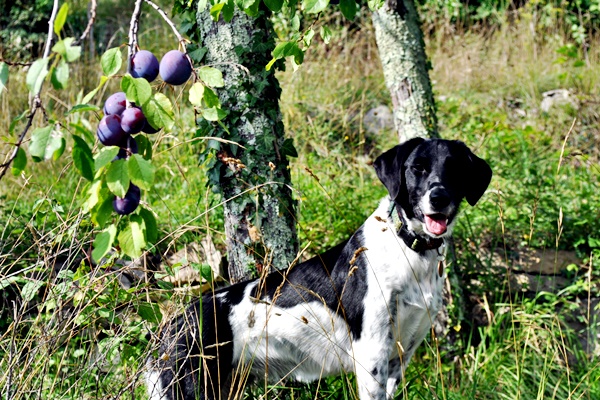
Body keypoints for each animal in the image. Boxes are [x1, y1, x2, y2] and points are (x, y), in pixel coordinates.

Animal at [146, 138, 492, 400]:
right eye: (417, 168)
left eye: (456, 169)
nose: (439, 197)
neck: (408, 247)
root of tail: (173, 323)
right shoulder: (371, 356)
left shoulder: (398, 358)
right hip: (192, 386)